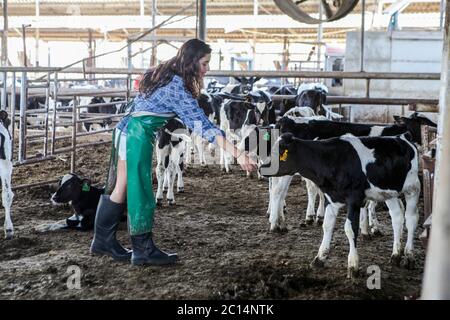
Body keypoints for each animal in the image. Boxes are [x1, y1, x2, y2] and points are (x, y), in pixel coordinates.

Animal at [262, 132, 420, 278]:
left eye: (277, 152)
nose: (260, 168)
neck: (330, 159)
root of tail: (403, 136)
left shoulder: (354, 199)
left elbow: (350, 229)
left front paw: (353, 266)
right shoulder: (331, 199)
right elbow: (327, 226)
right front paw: (319, 258)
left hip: (412, 188)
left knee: (411, 220)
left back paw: (409, 257)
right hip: (389, 192)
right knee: (397, 217)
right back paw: (395, 255)